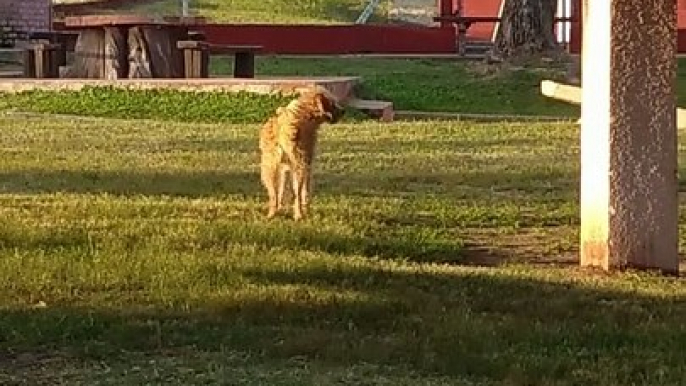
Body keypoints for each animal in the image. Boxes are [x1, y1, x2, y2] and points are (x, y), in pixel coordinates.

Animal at [260, 87, 344, 220]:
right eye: (332, 103)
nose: (344, 111)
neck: (305, 112)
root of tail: (283, 130)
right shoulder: (307, 164)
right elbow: (305, 191)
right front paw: (306, 210)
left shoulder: (284, 167)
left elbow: (280, 190)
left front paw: (279, 207)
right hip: (300, 166)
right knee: (297, 193)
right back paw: (298, 215)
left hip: (269, 168)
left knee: (273, 193)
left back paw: (271, 214)